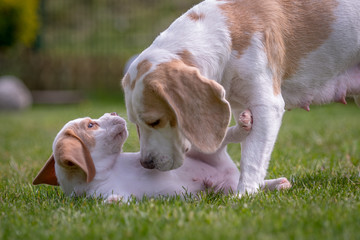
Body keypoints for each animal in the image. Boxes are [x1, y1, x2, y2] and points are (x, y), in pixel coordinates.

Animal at [31, 111, 290, 202]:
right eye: (91, 125)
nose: (113, 112)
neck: (109, 169)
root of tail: (229, 177)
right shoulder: (101, 195)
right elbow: (115, 200)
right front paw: (113, 203)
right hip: (225, 189)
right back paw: (278, 184)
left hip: (207, 154)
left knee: (224, 138)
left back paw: (244, 124)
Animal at [121, 0, 360, 195]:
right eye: (135, 123)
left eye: (155, 122)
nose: (146, 163)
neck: (225, 36)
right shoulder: (239, 106)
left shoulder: (267, 106)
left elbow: (252, 159)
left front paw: (244, 196)